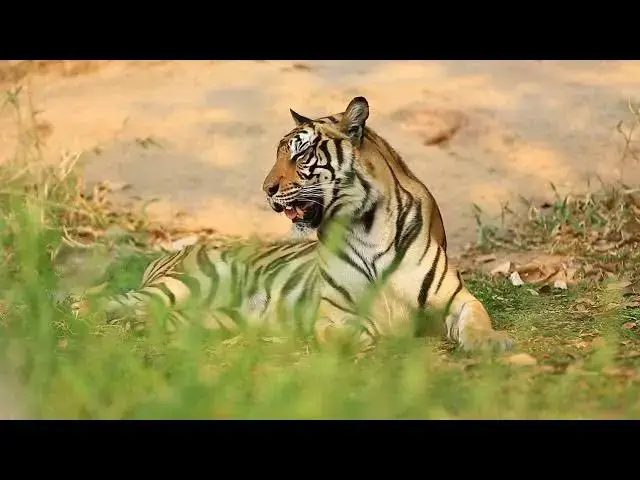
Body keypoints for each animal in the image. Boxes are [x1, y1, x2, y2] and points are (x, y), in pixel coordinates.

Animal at [87, 96, 513, 353]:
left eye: (301, 153)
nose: (266, 189)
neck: (366, 225)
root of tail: (170, 253)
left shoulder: (457, 298)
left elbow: (476, 319)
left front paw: (494, 342)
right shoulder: (330, 312)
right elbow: (357, 329)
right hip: (181, 286)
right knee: (102, 301)